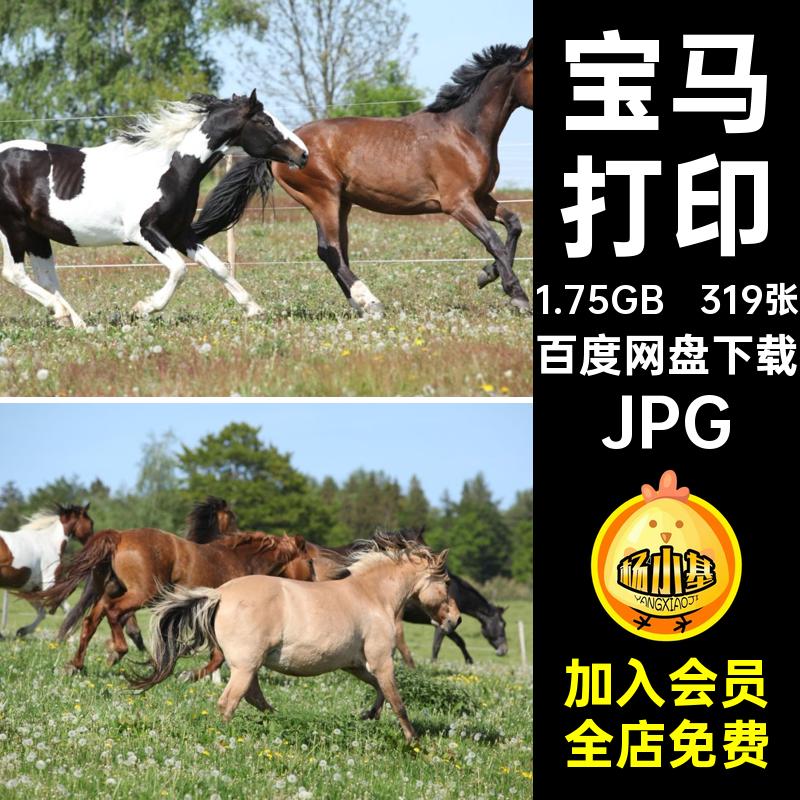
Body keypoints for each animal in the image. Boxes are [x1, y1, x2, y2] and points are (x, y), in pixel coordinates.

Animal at [0, 90, 308, 327]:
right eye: (265, 121)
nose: (303, 154)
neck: (170, 168)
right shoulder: (144, 232)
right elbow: (179, 269)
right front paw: (143, 308)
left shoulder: (181, 233)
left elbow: (219, 267)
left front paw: (254, 309)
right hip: (13, 229)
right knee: (15, 273)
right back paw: (62, 313)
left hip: (38, 234)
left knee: (47, 277)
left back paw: (77, 323)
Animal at [1, 503, 93, 638]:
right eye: (91, 523)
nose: (94, 540)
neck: (50, 543)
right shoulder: (49, 585)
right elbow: (66, 609)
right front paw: (67, 636)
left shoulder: (30, 589)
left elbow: (42, 612)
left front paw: (22, 631)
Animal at [27, 526, 312, 673]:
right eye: (309, 561)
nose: (309, 588)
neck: (242, 560)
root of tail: (119, 537)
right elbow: (218, 654)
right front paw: (194, 674)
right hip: (140, 594)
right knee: (114, 613)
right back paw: (117, 651)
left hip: (112, 590)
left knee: (91, 621)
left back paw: (76, 665)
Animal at [131, 535, 460, 743]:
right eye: (446, 582)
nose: (455, 620)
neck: (372, 597)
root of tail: (220, 594)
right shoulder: (381, 661)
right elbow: (397, 701)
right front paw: (413, 740)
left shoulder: (356, 665)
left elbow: (380, 691)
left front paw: (369, 715)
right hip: (245, 666)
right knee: (229, 703)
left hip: (250, 666)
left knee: (254, 698)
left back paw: (281, 719)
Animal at [192, 39, 533, 317]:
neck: (463, 132)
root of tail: (290, 148)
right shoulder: (458, 203)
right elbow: (493, 241)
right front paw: (517, 295)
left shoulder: (480, 197)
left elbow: (513, 225)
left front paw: (487, 275)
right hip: (323, 198)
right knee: (328, 250)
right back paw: (371, 303)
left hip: (342, 204)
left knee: (338, 252)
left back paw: (360, 304)